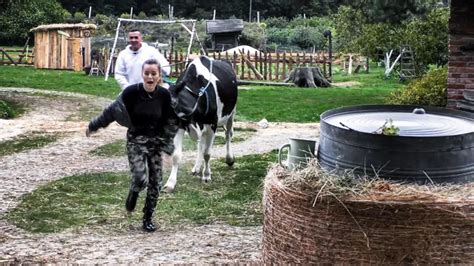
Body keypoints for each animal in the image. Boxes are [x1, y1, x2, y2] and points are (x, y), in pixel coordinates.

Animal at [164, 55, 237, 191]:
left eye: (171, 102)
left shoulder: (212, 125)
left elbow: (207, 153)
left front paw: (207, 175)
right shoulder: (180, 125)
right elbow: (176, 156)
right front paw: (170, 183)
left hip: (231, 113)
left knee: (228, 134)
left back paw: (229, 159)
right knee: (201, 143)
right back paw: (197, 167)